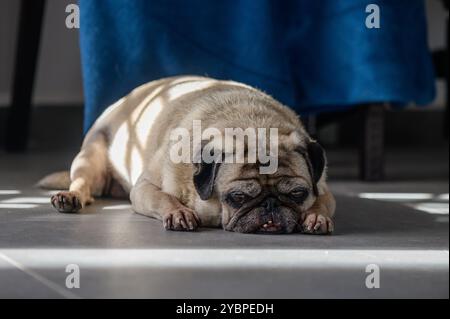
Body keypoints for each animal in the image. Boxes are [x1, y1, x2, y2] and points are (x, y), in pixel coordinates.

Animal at [39, 76, 334, 234]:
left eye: (297, 194)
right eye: (238, 198)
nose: (270, 205)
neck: (251, 124)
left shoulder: (322, 190)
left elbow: (321, 203)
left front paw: (315, 217)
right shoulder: (144, 188)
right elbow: (163, 198)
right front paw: (178, 212)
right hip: (90, 158)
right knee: (82, 185)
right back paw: (70, 197)